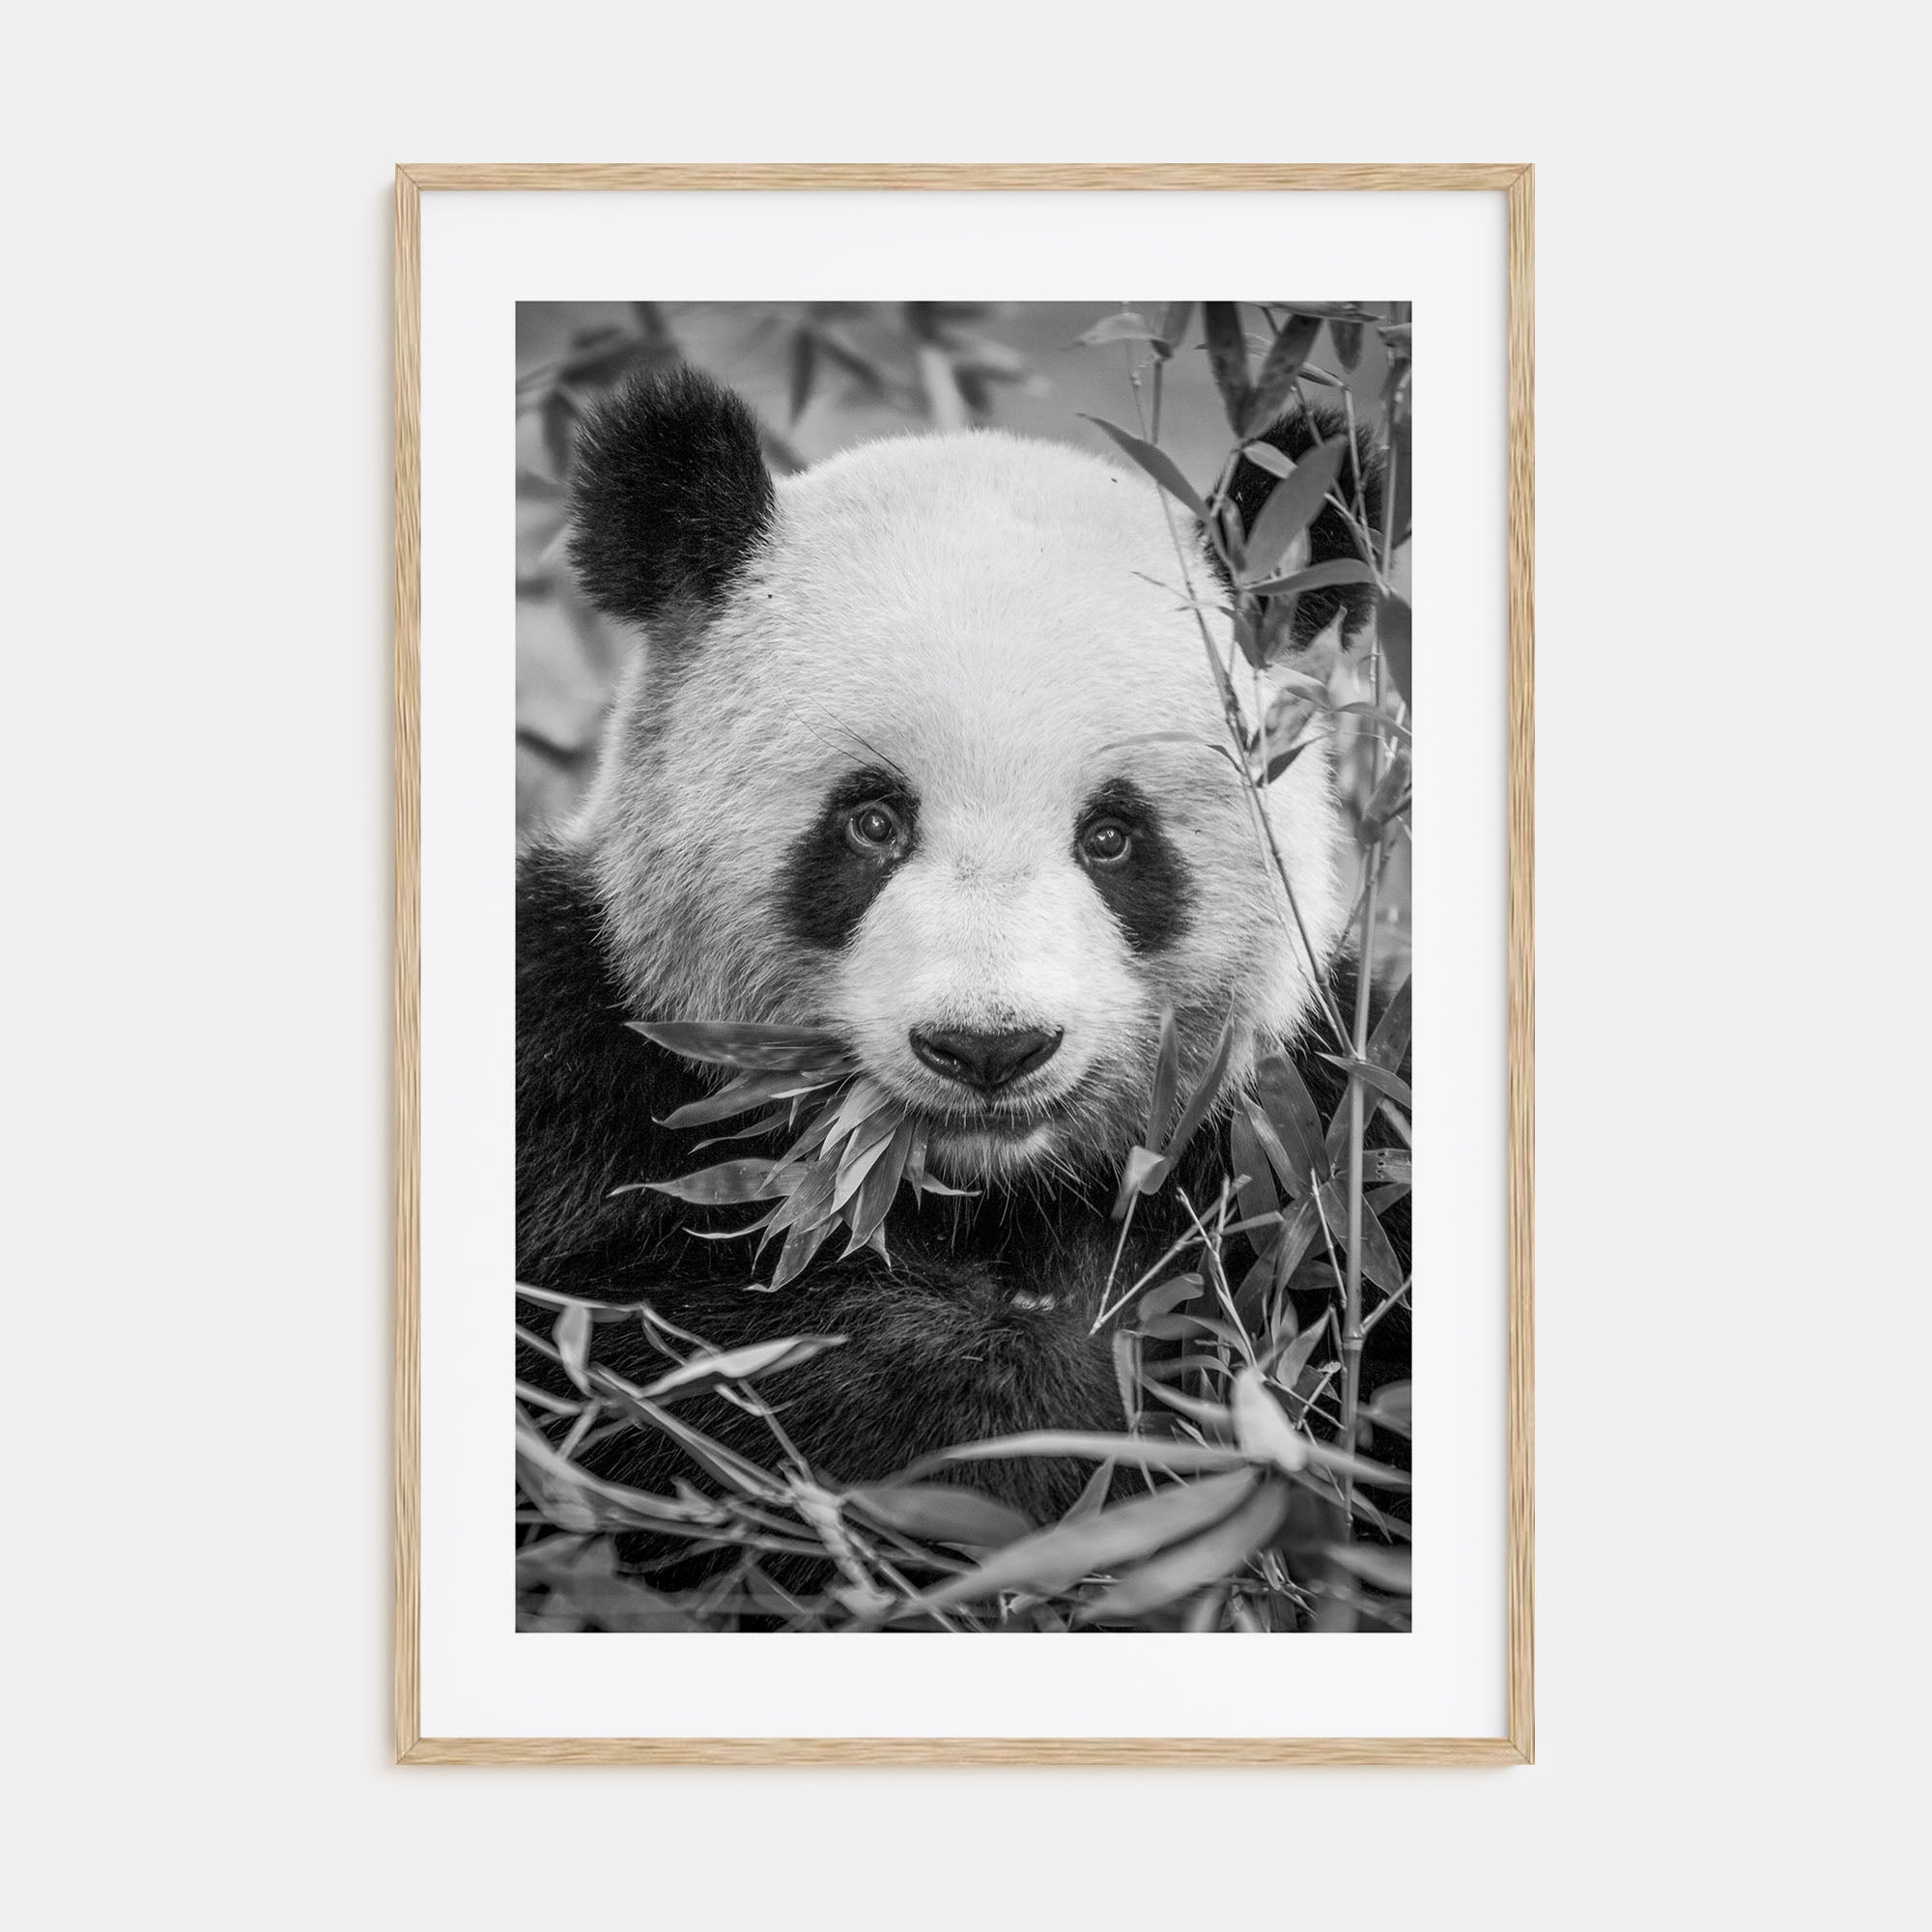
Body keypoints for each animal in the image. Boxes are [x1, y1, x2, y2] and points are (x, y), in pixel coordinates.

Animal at [518, 365, 1405, 1530]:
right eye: (871, 822)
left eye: (1112, 836)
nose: (988, 1048)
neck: (982, 1195)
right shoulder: (577, 1066)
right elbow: (646, 1363)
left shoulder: (1314, 1129)